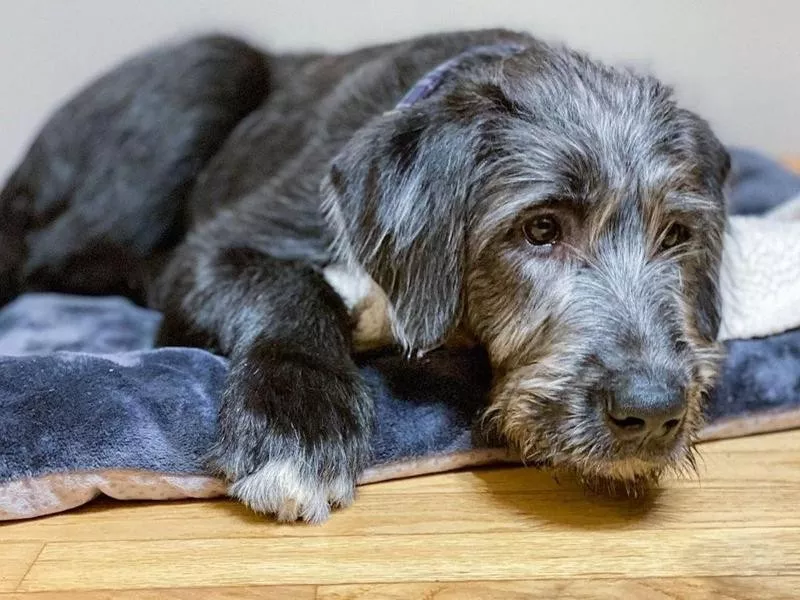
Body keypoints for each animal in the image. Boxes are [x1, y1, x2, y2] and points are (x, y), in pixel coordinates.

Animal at [0, 30, 724, 524]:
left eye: (676, 235)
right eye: (541, 228)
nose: (652, 411)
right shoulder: (213, 251)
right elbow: (295, 287)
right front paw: (298, 420)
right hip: (202, 74)